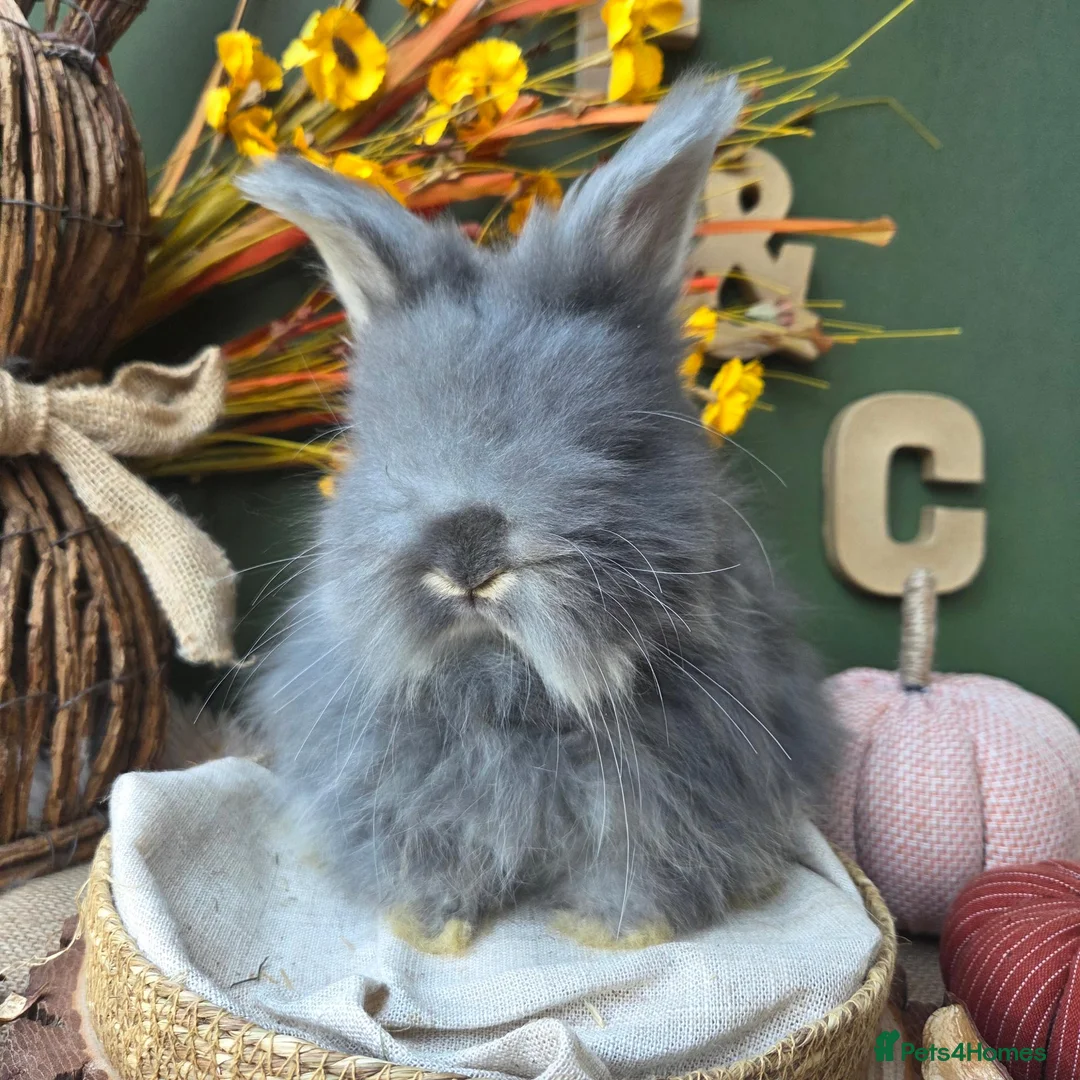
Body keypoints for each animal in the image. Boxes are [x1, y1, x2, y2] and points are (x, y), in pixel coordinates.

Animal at [238, 75, 838, 953]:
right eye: (382, 447)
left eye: (613, 448)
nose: (467, 547)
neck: (506, 682)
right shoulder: (396, 795)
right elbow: (428, 856)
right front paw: (428, 926)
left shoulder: (672, 798)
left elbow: (634, 868)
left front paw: (612, 934)